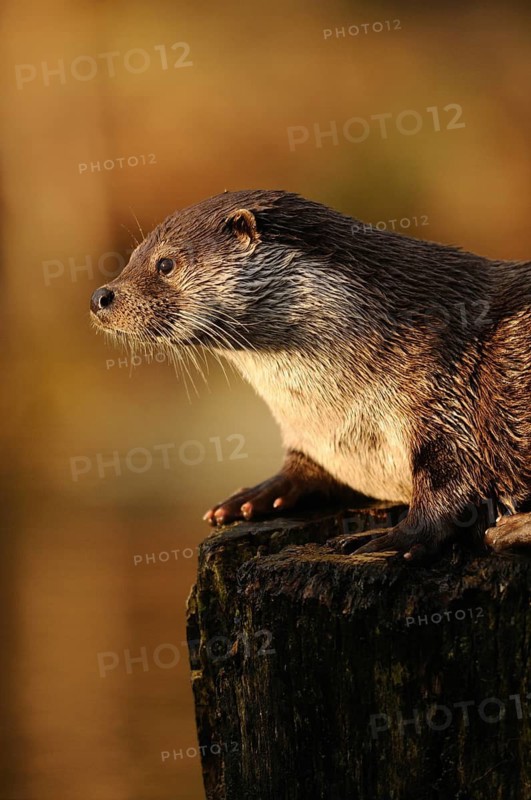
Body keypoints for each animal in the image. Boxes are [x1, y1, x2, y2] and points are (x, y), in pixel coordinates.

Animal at [90, 189, 531, 561]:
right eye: (132, 256)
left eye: (165, 264)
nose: (100, 296)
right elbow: (304, 470)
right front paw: (254, 495)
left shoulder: (443, 391)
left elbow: (452, 487)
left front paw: (391, 541)